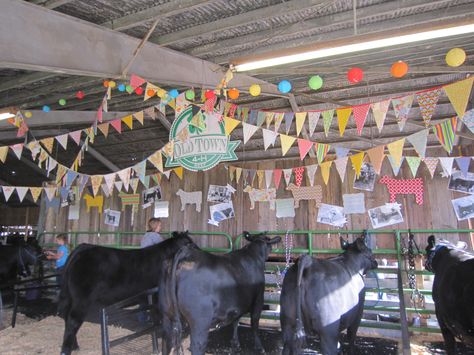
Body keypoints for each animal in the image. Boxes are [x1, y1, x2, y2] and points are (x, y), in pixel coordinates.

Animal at [58, 232, 195, 354]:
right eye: (188, 244)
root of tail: (84, 248)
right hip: (82, 299)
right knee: (73, 320)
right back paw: (66, 350)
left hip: (72, 298)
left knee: (67, 318)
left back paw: (74, 346)